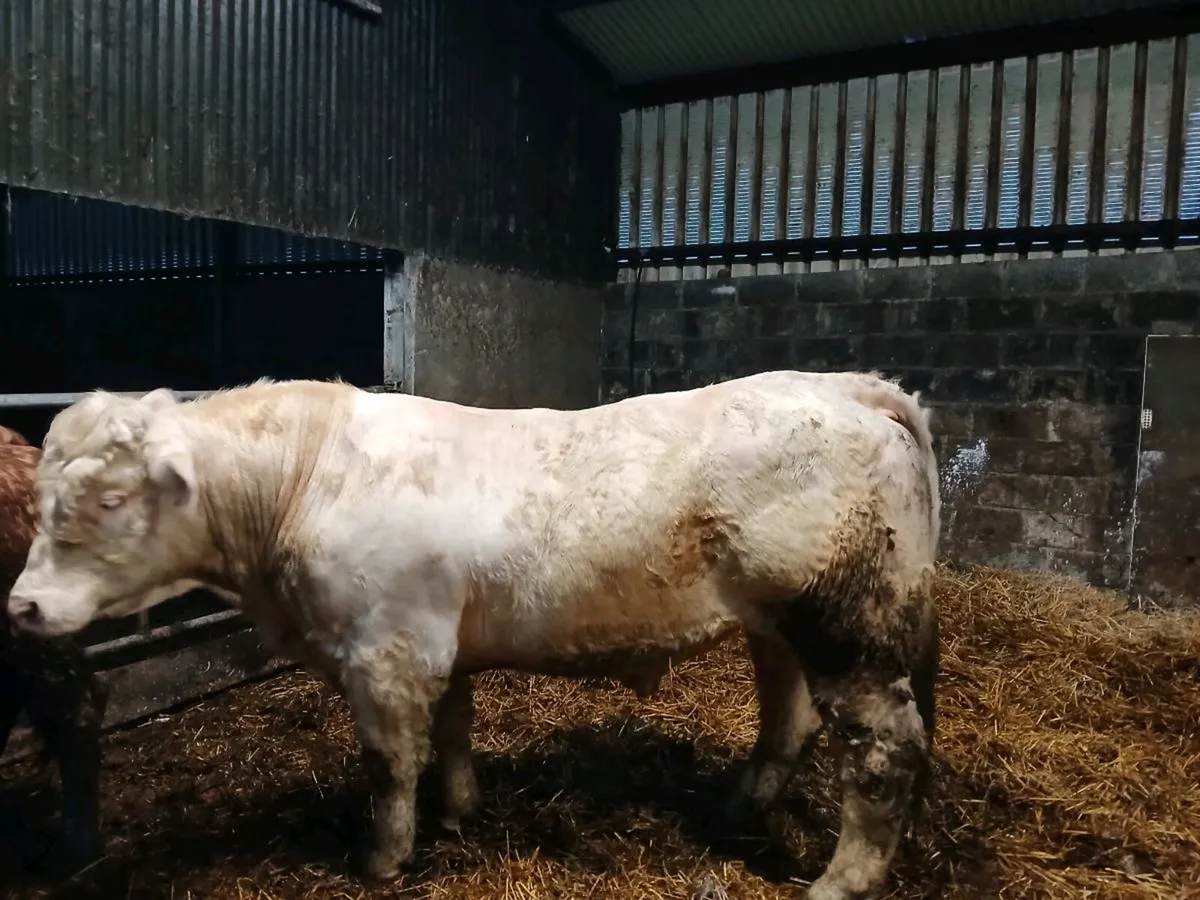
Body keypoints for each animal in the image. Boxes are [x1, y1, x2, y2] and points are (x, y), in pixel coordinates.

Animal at [6, 370, 940, 900]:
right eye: (45, 498)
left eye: (110, 500)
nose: (22, 607)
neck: (305, 481)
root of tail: (846, 384)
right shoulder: (435, 642)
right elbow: (453, 727)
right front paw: (459, 812)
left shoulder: (384, 653)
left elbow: (389, 764)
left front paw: (383, 860)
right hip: (779, 625)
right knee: (789, 720)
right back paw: (736, 808)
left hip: (847, 625)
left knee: (886, 751)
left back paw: (840, 882)